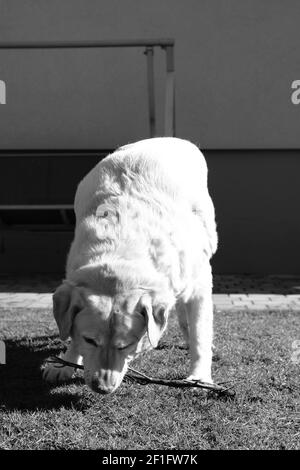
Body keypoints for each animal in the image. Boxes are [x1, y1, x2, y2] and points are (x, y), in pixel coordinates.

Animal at [43, 138, 217, 394]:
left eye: (126, 345)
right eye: (90, 340)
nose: (102, 387)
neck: (121, 252)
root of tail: (167, 139)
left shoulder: (199, 284)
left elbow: (200, 334)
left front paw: (199, 377)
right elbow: (71, 330)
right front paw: (65, 363)